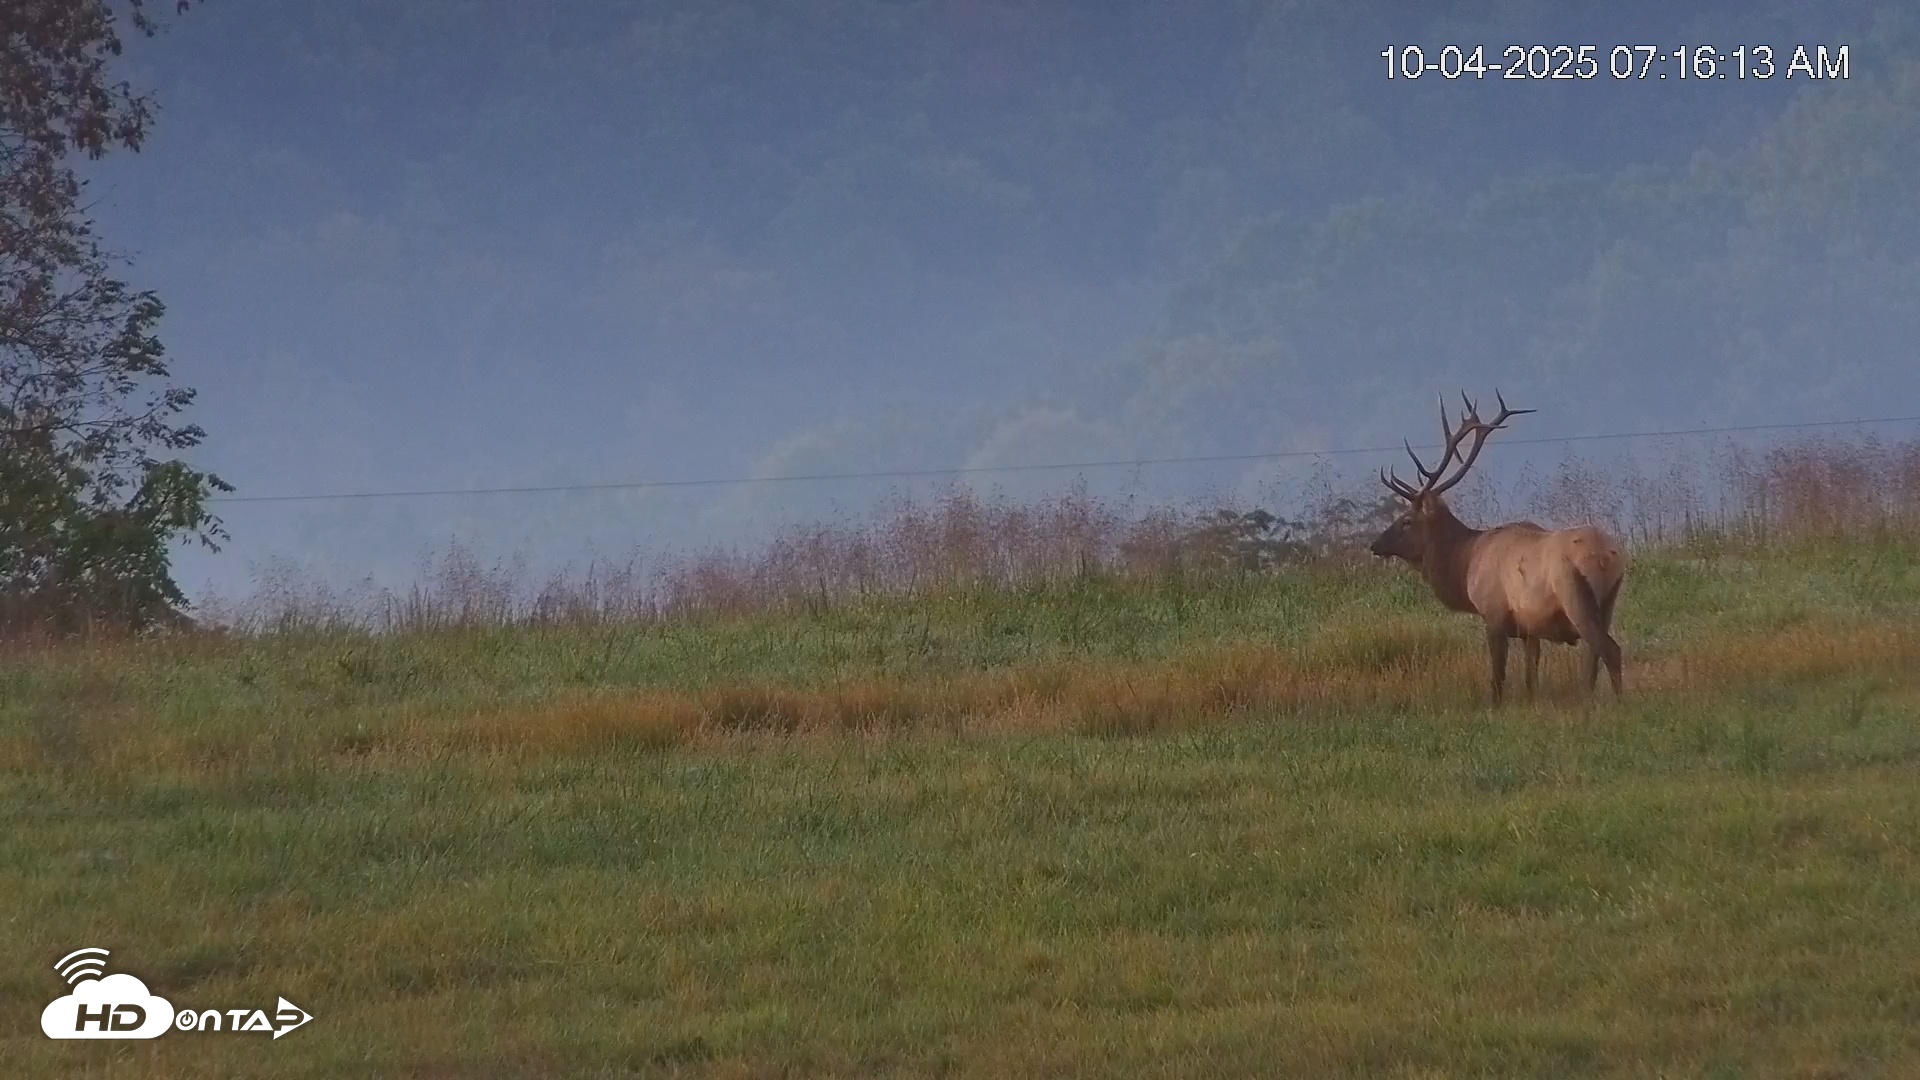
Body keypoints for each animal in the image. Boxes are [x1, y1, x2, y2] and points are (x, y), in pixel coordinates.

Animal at [1368, 391, 1625, 705]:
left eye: (1406, 521)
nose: (1375, 544)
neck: (1465, 564)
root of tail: (1606, 557)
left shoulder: (1494, 615)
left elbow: (1498, 677)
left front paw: (1494, 706)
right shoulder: (1529, 630)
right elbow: (1530, 678)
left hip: (1574, 594)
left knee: (1609, 650)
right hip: (1608, 602)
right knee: (1594, 657)